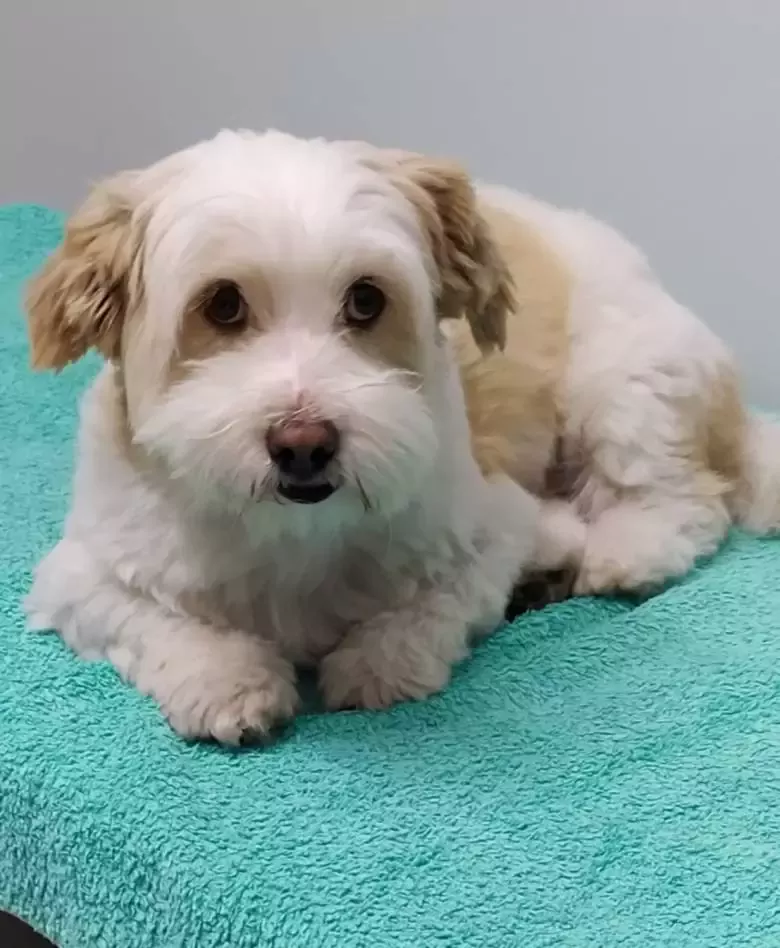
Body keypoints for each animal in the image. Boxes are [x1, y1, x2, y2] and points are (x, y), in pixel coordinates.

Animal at [24, 130, 780, 744]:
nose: (305, 442)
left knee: (687, 499)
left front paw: (377, 659)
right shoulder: (80, 575)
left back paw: (625, 553)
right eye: (223, 304)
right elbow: (158, 623)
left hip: (623, 381)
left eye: (366, 299)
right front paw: (227, 679)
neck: (289, 536)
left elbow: (434, 606)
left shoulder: (498, 526)